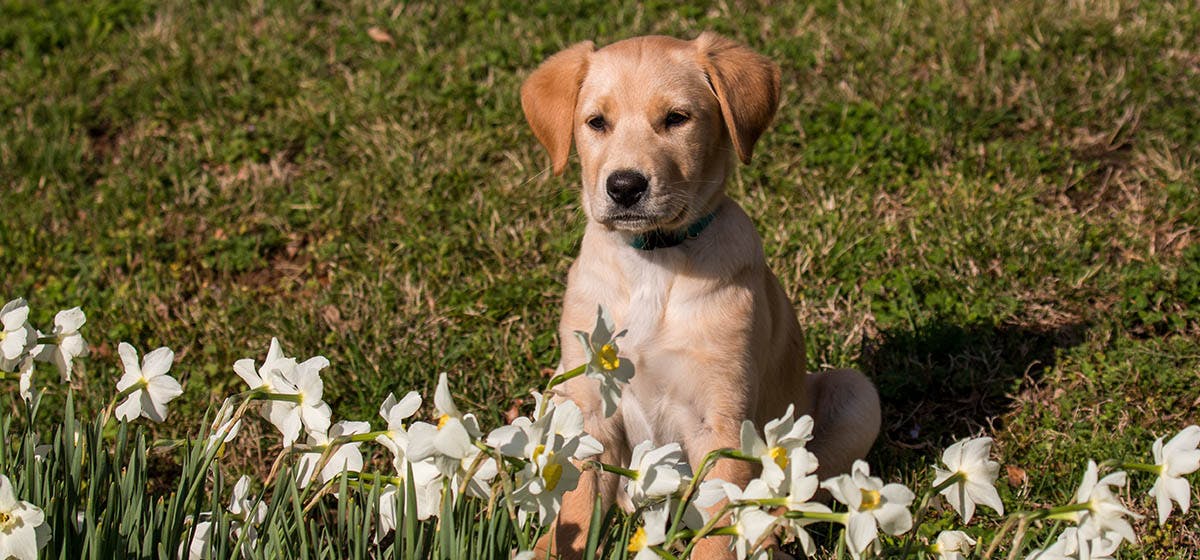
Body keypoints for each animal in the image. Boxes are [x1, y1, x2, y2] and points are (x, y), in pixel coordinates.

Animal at [520, 34, 878, 556]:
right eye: (596, 122)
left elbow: (720, 516)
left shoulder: (720, 420)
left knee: (793, 496)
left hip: (856, 395)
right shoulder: (591, 409)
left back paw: (771, 536)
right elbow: (579, 504)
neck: (654, 262)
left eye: (677, 119)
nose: (624, 186)